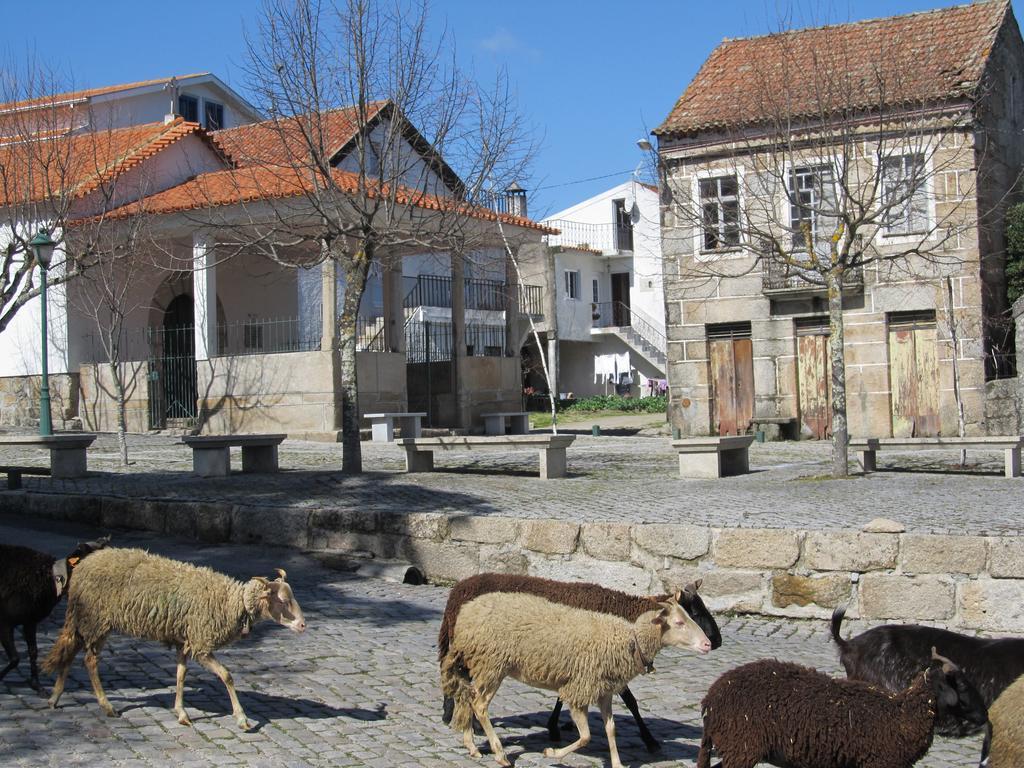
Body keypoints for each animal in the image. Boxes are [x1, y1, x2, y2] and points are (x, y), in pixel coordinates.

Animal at [1, 536, 108, 692]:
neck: (51, 579)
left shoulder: (30, 621)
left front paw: (36, 684)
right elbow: (15, 658)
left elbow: (33, 651)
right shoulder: (5, 622)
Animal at [43, 548, 303, 729]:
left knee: (70, 651)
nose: (303, 625)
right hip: (97, 619)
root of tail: (82, 567)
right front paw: (242, 718)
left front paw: (181, 713)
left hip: (87, 619)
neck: (229, 602)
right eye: (281, 601)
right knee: (89, 660)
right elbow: (226, 675)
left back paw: (55, 697)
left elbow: (180, 675)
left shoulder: (185, 641)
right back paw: (106, 706)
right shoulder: (200, 643)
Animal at [440, 593, 712, 765]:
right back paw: (500, 754)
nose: (708, 644)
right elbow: (586, 736)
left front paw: (617, 763)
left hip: (480, 664)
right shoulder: (579, 690)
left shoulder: (604, 691)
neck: (629, 641)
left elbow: (610, 729)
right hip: (492, 664)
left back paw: (472, 747)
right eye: (678, 622)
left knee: (467, 698)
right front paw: (552, 753)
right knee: (479, 705)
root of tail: (466, 614)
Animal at [700, 651, 987, 768]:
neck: (902, 716)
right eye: (960, 684)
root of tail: (710, 700)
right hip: (741, 748)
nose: (985, 716)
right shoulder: (881, 763)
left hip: (735, 749)